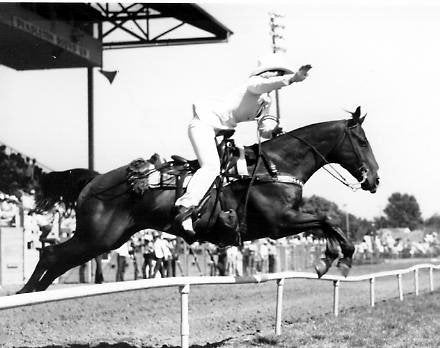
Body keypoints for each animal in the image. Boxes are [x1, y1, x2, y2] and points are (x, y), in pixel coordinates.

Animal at [18, 106, 378, 294]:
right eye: (361, 140)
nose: (375, 179)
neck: (274, 166)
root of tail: (94, 180)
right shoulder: (279, 223)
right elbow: (327, 219)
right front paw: (338, 259)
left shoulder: (288, 220)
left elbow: (327, 223)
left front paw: (330, 258)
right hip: (97, 237)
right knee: (51, 254)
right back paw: (24, 294)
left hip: (107, 238)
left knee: (56, 258)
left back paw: (33, 293)